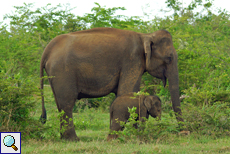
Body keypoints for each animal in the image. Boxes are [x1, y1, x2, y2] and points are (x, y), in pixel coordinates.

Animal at [40, 27, 183, 141]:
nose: (183, 132)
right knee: (67, 103)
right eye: (169, 58)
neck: (145, 35)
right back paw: (74, 140)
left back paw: (64, 138)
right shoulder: (132, 60)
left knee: (60, 103)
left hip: (54, 75)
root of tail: (47, 50)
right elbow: (127, 91)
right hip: (63, 71)